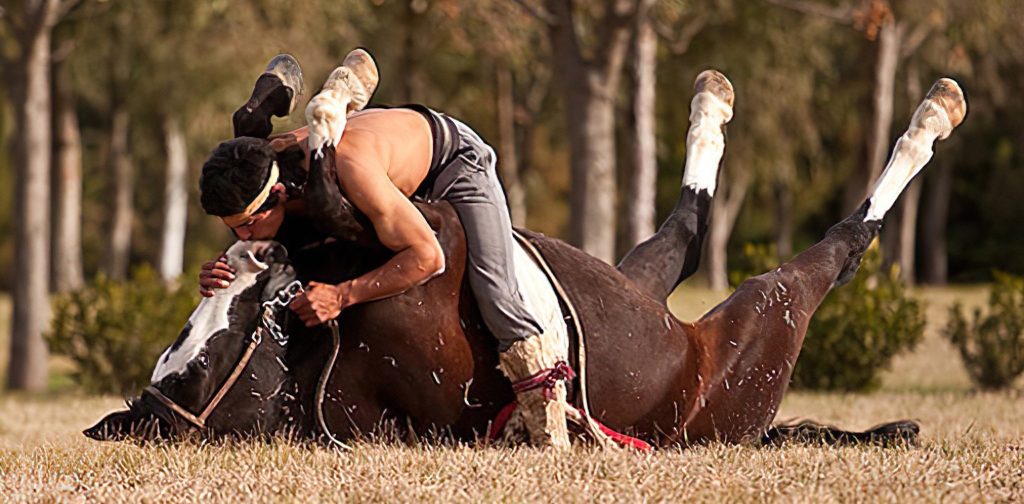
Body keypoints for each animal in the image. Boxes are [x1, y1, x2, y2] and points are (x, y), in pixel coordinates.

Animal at [86, 71, 958, 448]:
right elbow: (334, 193)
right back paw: (929, 120)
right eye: (200, 366)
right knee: (826, 253)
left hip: (636, 283)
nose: (252, 267)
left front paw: (298, 102)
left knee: (683, 227)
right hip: (753, 340)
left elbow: (306, 167)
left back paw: (712, 101)